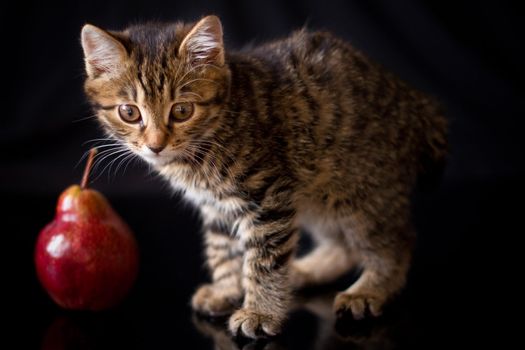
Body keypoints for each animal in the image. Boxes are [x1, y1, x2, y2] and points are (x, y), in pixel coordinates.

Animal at [81, 15, 446, 340]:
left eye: (182, 110)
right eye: (129, 112)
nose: (156, 145)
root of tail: (414, 101)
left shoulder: (267, 198)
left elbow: (264, 260)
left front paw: (260, 312)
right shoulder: (217, 207)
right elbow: (222, 250)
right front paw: (227, 289)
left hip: (360, 187)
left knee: (395, 241)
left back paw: (369, 290)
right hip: (317, 191)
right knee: (343, 246)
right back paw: (304, 270)